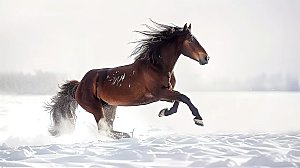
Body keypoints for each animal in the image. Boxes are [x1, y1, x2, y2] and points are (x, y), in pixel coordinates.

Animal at [46, 21, 209, 138]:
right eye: (191, 40)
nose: (206, 58)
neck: (156, 67)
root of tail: (79, 85)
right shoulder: (159, 93)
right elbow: (184, 97)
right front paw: (198, 119)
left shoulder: (164, 94)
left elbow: (178, 100)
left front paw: (163, 112)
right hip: (96, 108)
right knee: (104, 129)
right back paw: (126, 134)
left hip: (109, 107)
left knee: (108, 128)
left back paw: (125, 134)